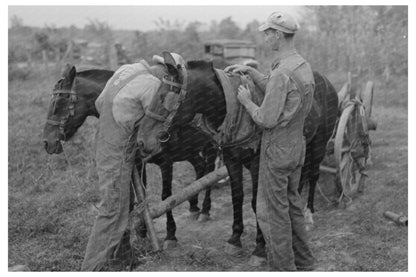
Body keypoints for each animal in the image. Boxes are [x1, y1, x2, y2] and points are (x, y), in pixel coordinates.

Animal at [41, 64, 218, 248]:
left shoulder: (166, 162)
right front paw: (143, 232)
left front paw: (170, 234)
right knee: (200, 168)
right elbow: (142, 195)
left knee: (210, 170)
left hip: (210, 146)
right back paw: (194, 206)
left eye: (57, 104)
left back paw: (205, 210)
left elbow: (167, 197)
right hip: (190, 151)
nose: (47, 142)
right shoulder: (139, 163)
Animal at [136, 52, 338, 258]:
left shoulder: (257, 164)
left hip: (319, 145)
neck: (233, 107)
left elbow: (256, 202)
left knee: (313, 175)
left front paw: (259, 248)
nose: (142, 140)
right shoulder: (232, 161)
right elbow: (237, 197)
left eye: (163, 97)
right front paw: (235, 239)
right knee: (300, 178)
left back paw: (308, 214)